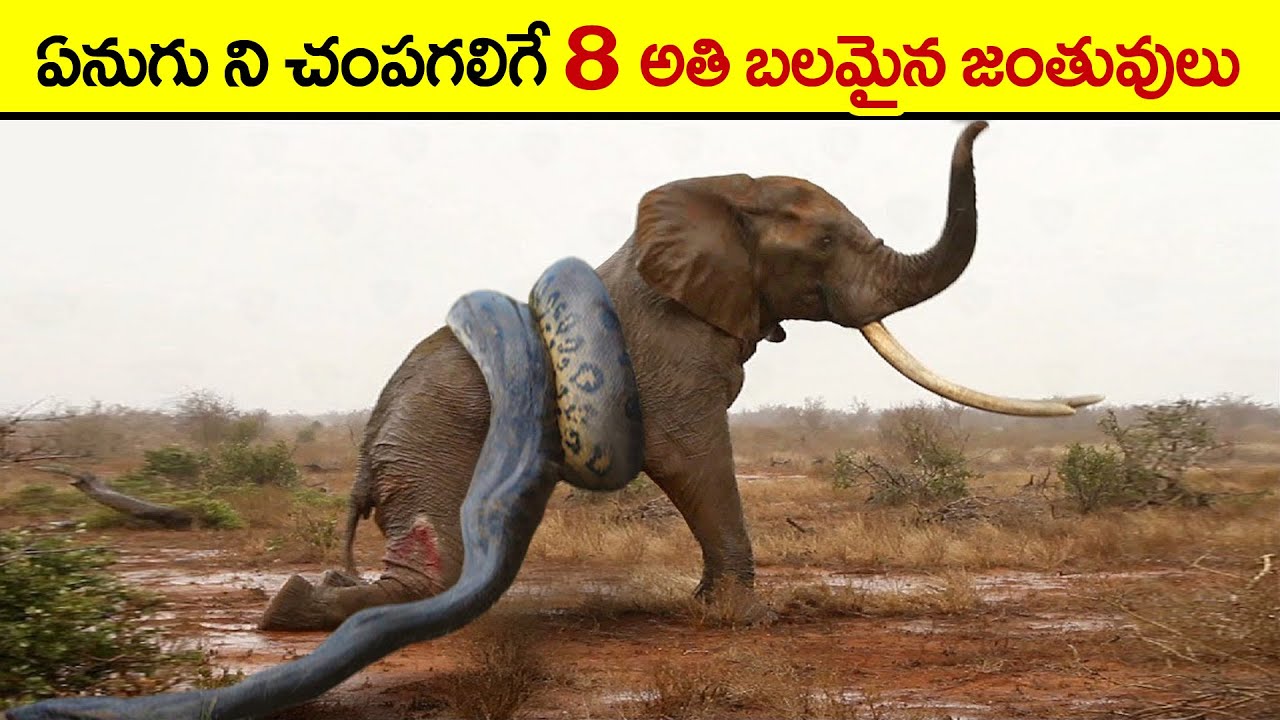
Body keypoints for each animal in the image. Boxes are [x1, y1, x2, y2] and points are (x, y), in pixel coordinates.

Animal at [259, 120, 1101, 631]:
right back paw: (296, 607)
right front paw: (741, 618)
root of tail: (367, 448)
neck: (727, 195)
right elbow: (689, 453)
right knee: (440, 569)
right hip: (434, 436)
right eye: (827, 242)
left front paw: (710, 606)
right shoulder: (673, 349)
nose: (986, 125)